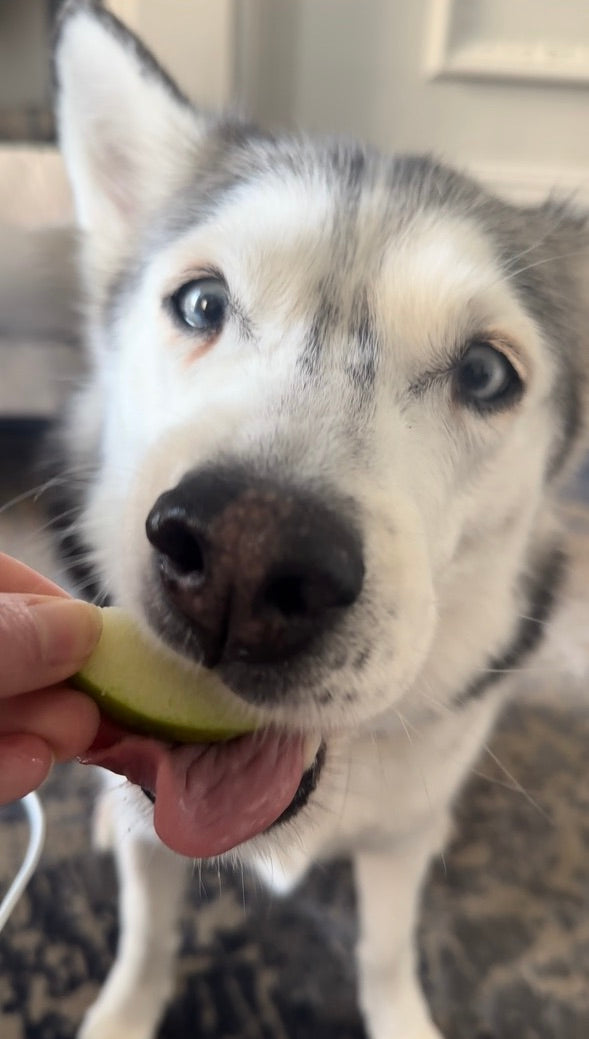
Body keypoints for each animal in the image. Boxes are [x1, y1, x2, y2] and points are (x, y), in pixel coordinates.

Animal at [50, 2, 589, 1039]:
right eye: (201, 303)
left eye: (484, 373)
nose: (243, 557)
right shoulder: (153, 840)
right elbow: (145, 934)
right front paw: (124, 1010)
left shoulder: (396, 843)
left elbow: (383, 948)